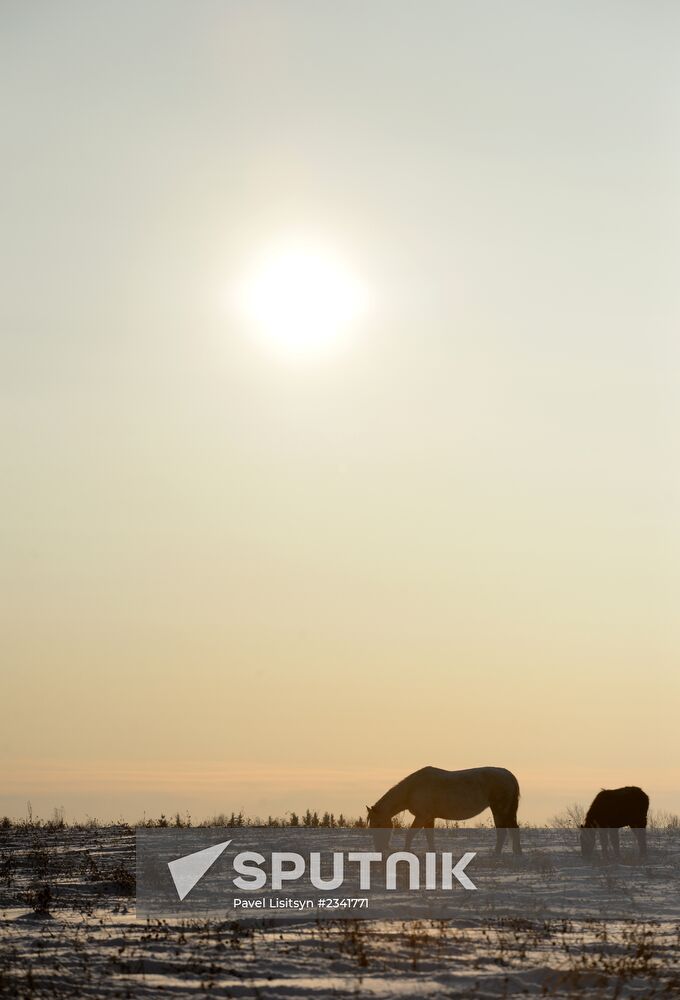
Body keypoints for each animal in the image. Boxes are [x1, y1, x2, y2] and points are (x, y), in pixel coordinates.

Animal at [366, 764, 520, 852]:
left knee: (503, 832)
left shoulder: (422, 817)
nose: (378, 849)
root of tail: (509, 775)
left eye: (378, 824)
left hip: (499, 809)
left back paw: (496, 854)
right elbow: (430, 837)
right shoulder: (428, 818)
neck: (412, 788)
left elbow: (410, 834)